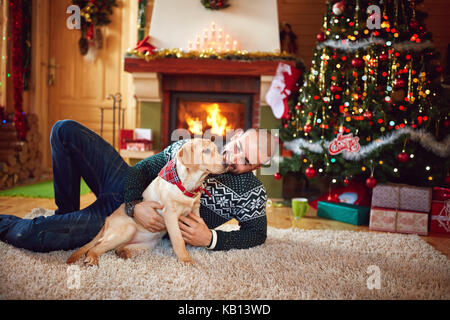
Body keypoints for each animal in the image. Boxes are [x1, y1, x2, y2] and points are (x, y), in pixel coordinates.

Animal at [66, 139, 227, 266]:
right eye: (206, 151)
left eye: (217, 150)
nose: (226, 163)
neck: (187, 185)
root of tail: (107, 220)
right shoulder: (170, 215)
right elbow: (178, 240)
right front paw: (185, 260)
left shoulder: (195, 211)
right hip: (127, 229)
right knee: (95, 247)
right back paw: (92, 258)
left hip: (146, 244)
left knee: (117, 248)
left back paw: (123, 253)